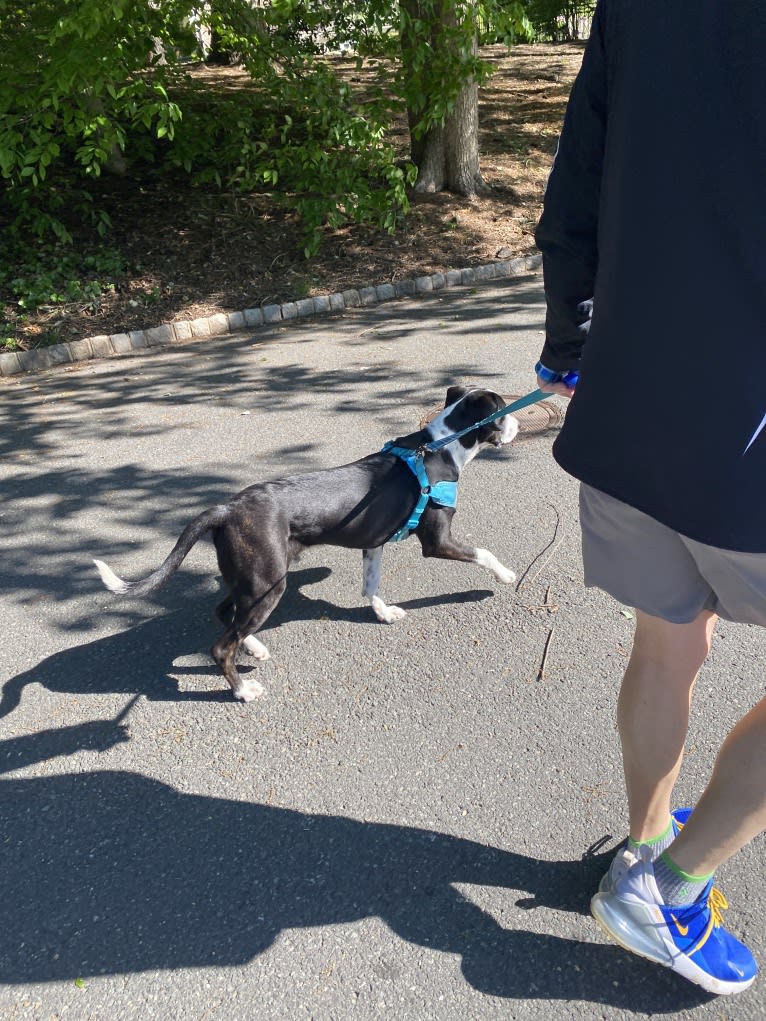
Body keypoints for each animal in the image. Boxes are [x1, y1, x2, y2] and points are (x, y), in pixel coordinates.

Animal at [92, 383, 518, 702]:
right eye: (502, 409)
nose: (516, 422)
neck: (441, 447)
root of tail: (227, 509)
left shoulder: (373, 542)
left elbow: (371, 584)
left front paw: (382, 612)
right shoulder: (437, 540)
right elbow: (483, 552)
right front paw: (505, 575)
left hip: (251, 581)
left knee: (225, 613)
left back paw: (253, 646)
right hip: (267, 583)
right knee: (220, 646)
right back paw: (242, 690)